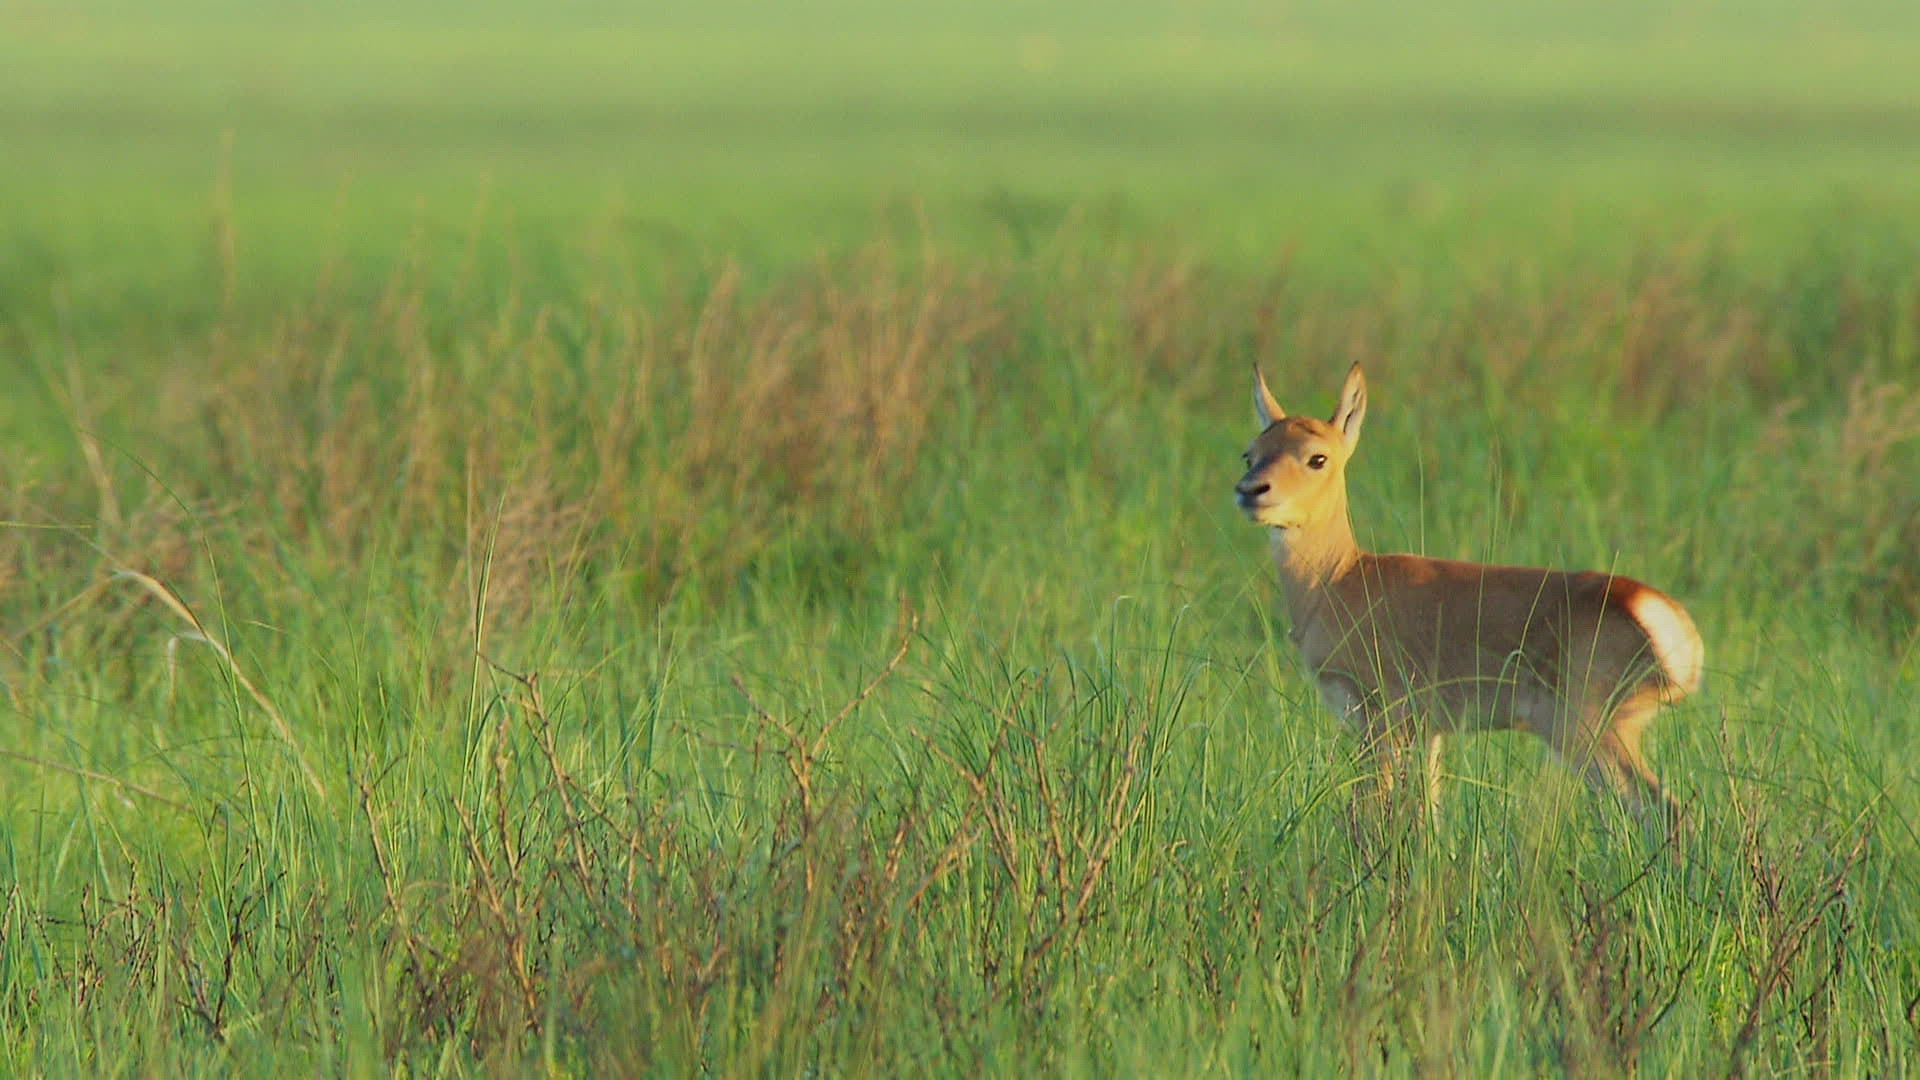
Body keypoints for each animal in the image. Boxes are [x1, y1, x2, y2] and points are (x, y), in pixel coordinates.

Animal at [1235, 364, 1703, 821]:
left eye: (1318, 457)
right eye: (1251, 452)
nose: (1250, 490)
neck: (1337, 580)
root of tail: (1659, 612)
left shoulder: (1380, 719)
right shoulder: (1427, 732)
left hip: (1587, 732)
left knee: (1666, 809)